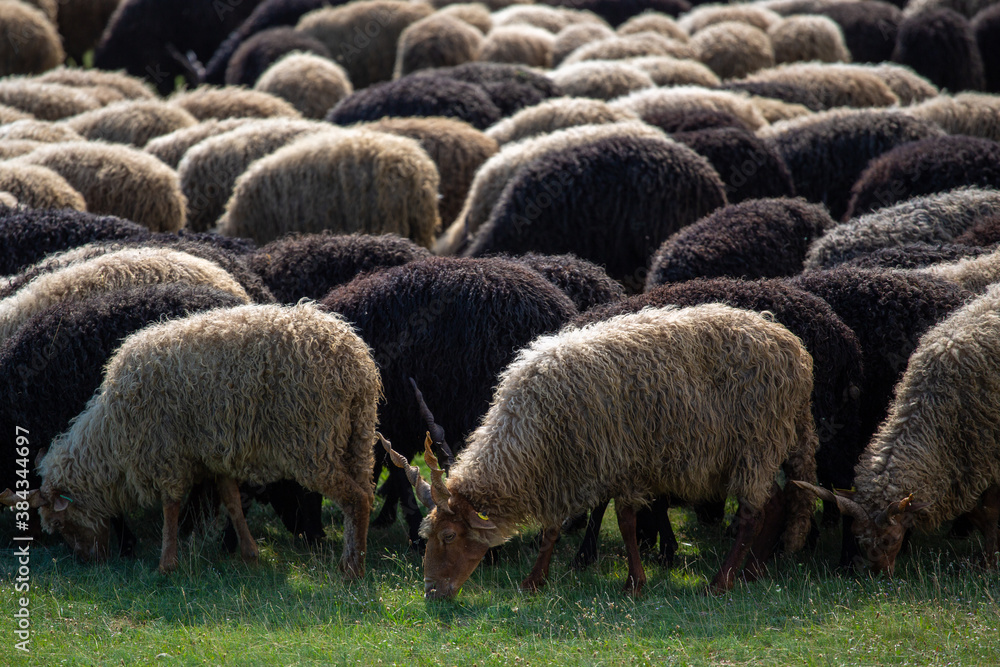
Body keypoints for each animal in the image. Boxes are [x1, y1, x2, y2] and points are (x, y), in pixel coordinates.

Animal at [6, 303, 380, 577]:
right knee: (366, 494)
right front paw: (249, 553)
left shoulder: (165, 452)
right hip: (358, 437)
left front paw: (167, 564)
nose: (90, 563)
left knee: (356, 500)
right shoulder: (214, 453)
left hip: (314, 442)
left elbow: (171, 506)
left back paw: (352, 570)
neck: (113, 432)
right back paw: (357, 558)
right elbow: (231, 500)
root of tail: (354, 362)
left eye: (61, 524)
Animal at [383, 303, 817, 596]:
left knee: (749, 514)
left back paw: (722, 581)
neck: (531, 428)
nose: (432, 592)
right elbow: (552, 529)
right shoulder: (563, 469)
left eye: (449, 536)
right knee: (774, 502)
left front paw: (634, 583)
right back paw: (752, 572)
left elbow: (624, 522)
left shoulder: (621, 463)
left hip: (756, 442)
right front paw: (534, 580)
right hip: (755, 450)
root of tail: (794, 348)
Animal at [796, 283, 1000, 573]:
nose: (878, 575)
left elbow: (990, 511)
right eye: (859, 537)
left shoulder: (987, 451)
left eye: (891, 539)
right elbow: (975, 510)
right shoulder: (963, 462)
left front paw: (989, 561)